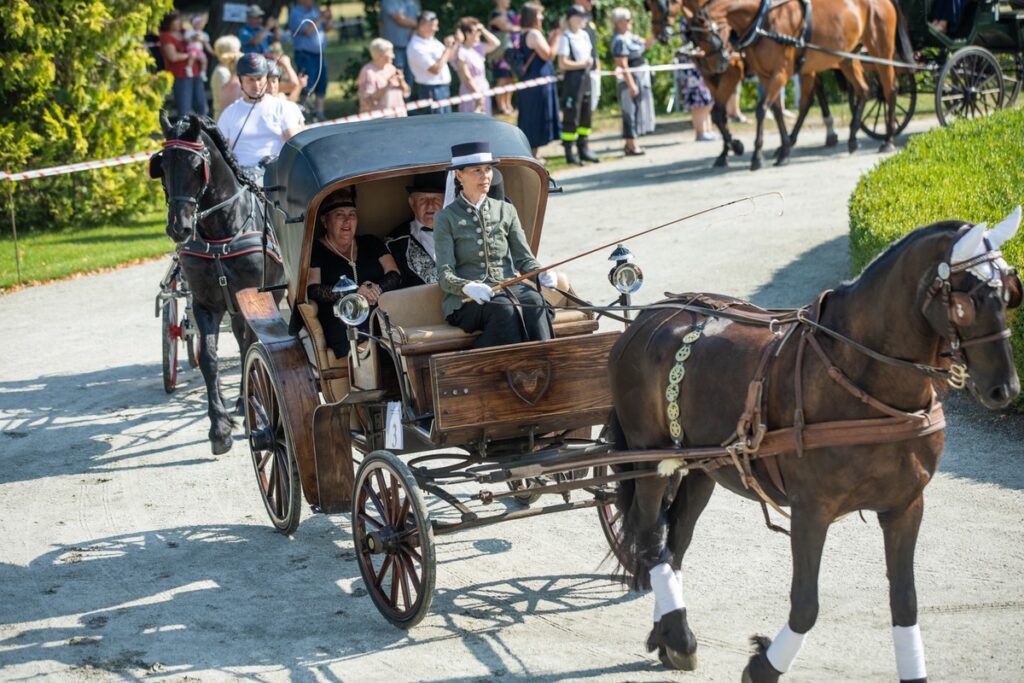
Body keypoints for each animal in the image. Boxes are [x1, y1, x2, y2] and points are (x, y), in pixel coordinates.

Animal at [149, 113, 284, 454]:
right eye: (162, 165)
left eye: (197, 166)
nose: (178, 227)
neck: (221, 232)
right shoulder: (206, 304)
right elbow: (209, 360)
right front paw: (219, 428)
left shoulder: (260, 301)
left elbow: (251, 348)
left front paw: (246, 406)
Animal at [688, 0, 913, 169]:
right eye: (696, 38)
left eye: (706, 36)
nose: (717, 65)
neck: (764, 19)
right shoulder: (764, 76)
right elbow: (773, 111)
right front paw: (781, 147)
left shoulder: (778, 73)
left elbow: (761, 110)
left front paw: (756, 155)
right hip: (845, 57)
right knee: (864, 91)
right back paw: (852, 140)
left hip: (880, 51)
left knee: (889, 90)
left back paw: (888, 140)